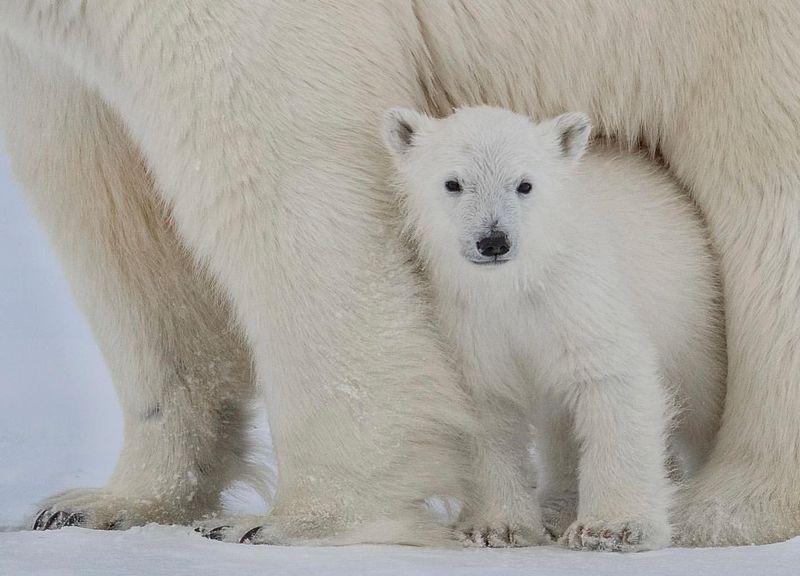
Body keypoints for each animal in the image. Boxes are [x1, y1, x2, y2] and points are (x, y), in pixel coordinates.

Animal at [0, 1, 796, 548]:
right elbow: (112, 218)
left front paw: (290, 521)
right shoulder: (45, 59)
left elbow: (292, 174)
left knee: (765, 198)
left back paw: (728, 505)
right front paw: (101, 503)